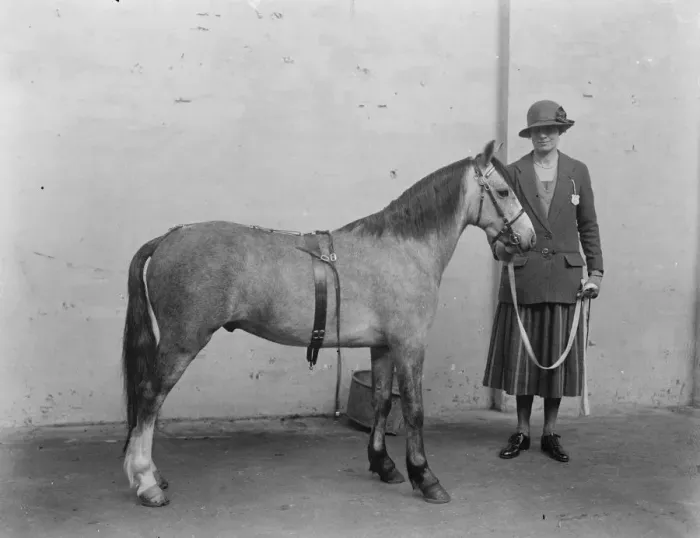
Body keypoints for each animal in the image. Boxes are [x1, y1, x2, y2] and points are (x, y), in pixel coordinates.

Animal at [120, 139, 536, 507]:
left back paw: (151, 475)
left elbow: (383, 402)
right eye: (503, 190)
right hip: (182, 342)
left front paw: (383, 464)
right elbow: (414, 410)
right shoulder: (409, 343)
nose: (528, 238)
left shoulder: (382, 345)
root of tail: (168, 238)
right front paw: (425, 477)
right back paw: (145, 482)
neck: (404, 249)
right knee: (150, 397)